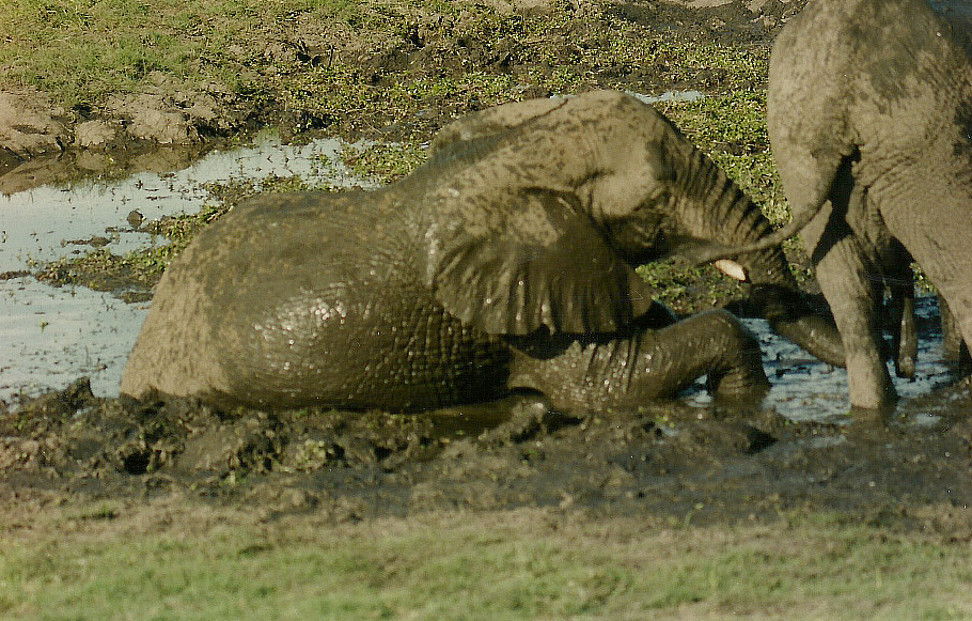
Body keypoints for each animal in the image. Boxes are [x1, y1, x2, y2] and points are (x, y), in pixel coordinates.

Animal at [708, 1, 972, 412]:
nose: (908, 365)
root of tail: (835, 85)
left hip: (799, 153)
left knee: (850, 293)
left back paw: (873, 408)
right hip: (926, 144)